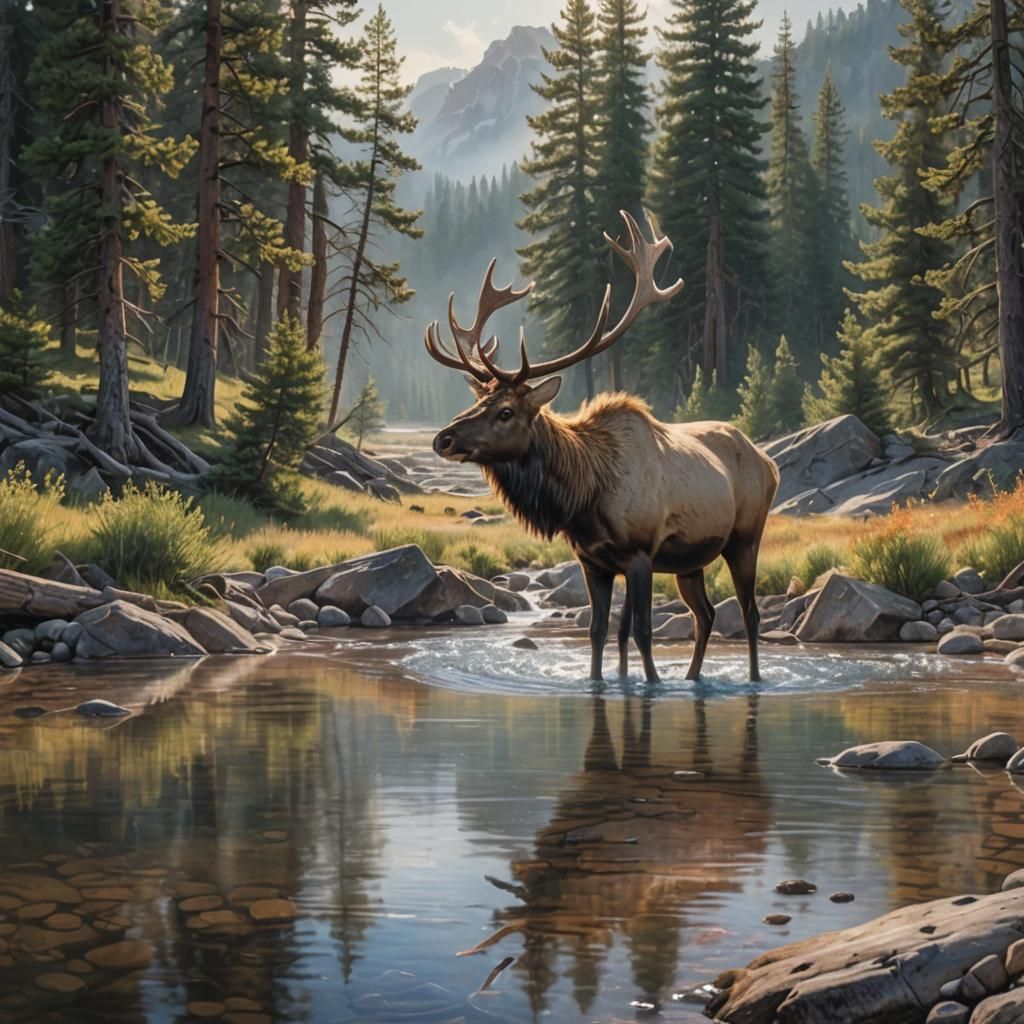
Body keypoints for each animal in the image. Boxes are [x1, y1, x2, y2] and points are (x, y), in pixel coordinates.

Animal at [427, 211, 780, 685]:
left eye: (505, 411)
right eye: (476, 401)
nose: (442, 438)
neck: (584, 496)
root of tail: (769, 462)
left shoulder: (640, 554)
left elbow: (643, 631)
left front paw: (652, 683)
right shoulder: (594, 561)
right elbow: (601, 631)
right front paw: (603, 679)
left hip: (745, 537)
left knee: (748, 613)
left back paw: (754, 678)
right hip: (691, 559)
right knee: (704, 615)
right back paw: (692, 678)